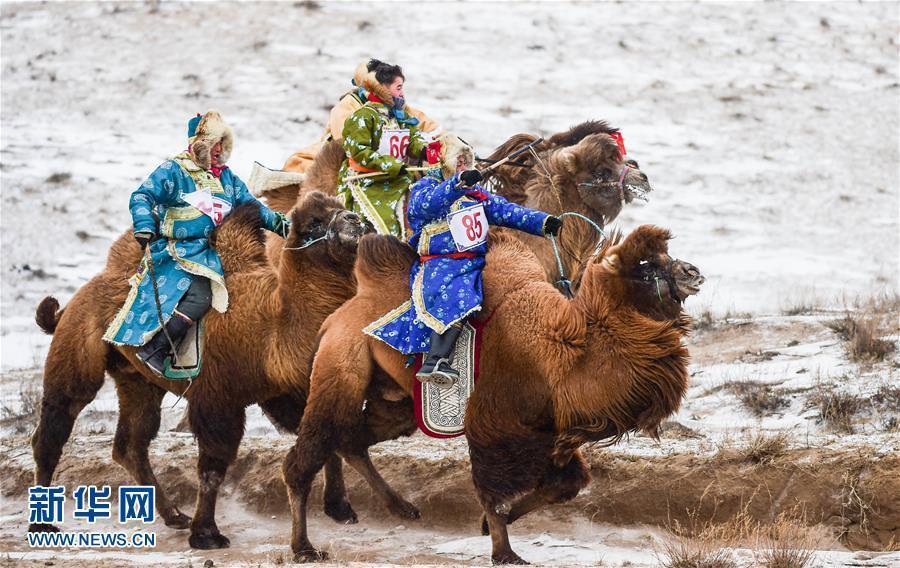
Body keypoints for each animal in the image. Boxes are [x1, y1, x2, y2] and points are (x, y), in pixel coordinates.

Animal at [29, 192, 400, 552]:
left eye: (340, 207)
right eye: (315, 223)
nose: (355, 219)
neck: (274, 328)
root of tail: (74, 300)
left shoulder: (283, 394)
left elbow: (327, 442)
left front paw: (340, 508)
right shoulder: (217, 398)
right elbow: (213, 468)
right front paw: (207, 534)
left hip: (137, 381)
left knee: (131, 443)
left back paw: (173, 515)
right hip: (77, 352)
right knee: (56, 423)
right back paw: (42, 524)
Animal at [282, 226, 704, 564]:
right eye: (646, 266)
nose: (694, 272)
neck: (563, 354)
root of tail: (338, 316)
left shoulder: (548, 433)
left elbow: (565, 485)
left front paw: (489, 526)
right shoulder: (495, 426)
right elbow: (493, 489)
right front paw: (505, 551)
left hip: (397, 403)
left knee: (349, 438)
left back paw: (386, 508)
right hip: (342, 365)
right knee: (311, 450)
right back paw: (305, 547)